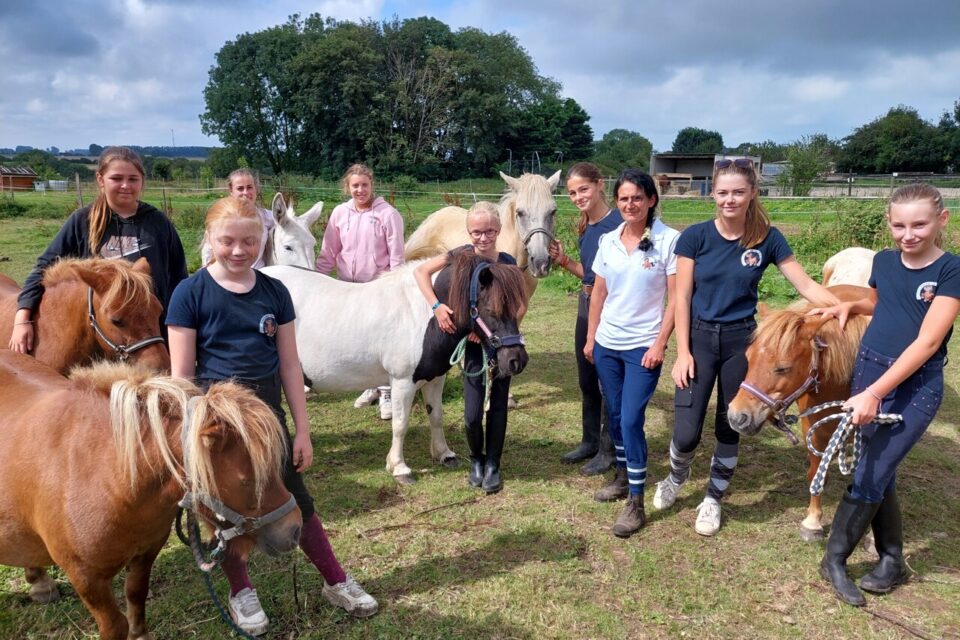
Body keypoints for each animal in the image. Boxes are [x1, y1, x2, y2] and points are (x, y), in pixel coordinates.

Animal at [0, 352, 300, 640]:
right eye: (246, 480)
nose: (293, 529)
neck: (104, 473)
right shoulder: (85, 577)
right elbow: (114, 625)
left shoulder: (146, 553)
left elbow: (136, 595)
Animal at [262, 250, 528, 484]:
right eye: (491, 309)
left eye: (516, 308)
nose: (517, 360)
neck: (423, 312)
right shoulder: (402, 383)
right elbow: (400, 425)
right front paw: (399, 467)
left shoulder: (434, 378)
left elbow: (436, 416)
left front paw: (444, 454)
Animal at [728, 284, 872, 540]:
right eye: (748, 357)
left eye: (783, 368)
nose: (737, 417)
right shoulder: (813, 428)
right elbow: (816, 472)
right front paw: (813, 521)